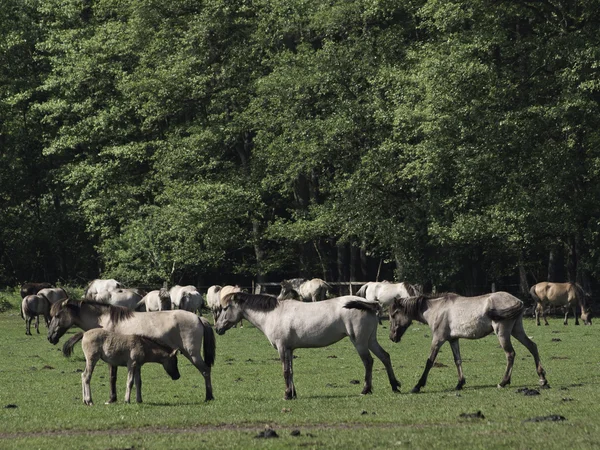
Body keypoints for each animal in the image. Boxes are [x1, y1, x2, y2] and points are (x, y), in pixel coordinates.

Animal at [48, 298, 216, 400]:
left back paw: (209, 397)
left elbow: (112, 378)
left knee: (205, 370)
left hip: (192, 354)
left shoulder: (112, 359)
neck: (105, 321)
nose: (50, 337)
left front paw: (112, 399)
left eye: (57, 315)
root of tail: (199, 318)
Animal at [213, 292, 400, 400]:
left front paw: (287, 395)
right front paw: (292, 393)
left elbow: (285, 371)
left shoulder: (282, 348)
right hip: (370, 340)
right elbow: (291, 371)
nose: (217, 328)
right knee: (385, 356)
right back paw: (394, 385)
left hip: (359, 342)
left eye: (225, 308)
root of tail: (369, 303)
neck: (273, 314)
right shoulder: (289, 349)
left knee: (368, 362)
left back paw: (365, 389)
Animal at [390, 292, 548, 394]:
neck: (437, 308)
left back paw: (503, 382)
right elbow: (458, 360)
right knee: (532, 346)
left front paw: (418, 386)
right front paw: (460, 383)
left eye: (393, 314)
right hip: (517, 330)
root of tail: (518, 301)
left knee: (510, 354)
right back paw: (542, 379)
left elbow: (429, 361)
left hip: (503, 333)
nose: (392, 337)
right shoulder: (453, 340)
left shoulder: (438, 339)